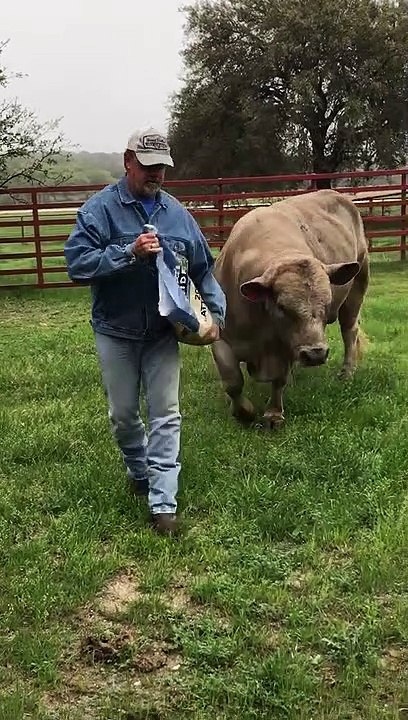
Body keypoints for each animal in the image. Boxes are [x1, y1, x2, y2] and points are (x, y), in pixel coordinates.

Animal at [211, 189, 369, 428]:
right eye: (282, 306)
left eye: (327, 303)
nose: (315, 354)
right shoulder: (222, 338)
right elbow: (232, 380)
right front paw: (243, 412)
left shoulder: (285, 345)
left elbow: (279, 379)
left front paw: (273, 414)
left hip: (357, 288)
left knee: (349, 332)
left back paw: (346, 373)